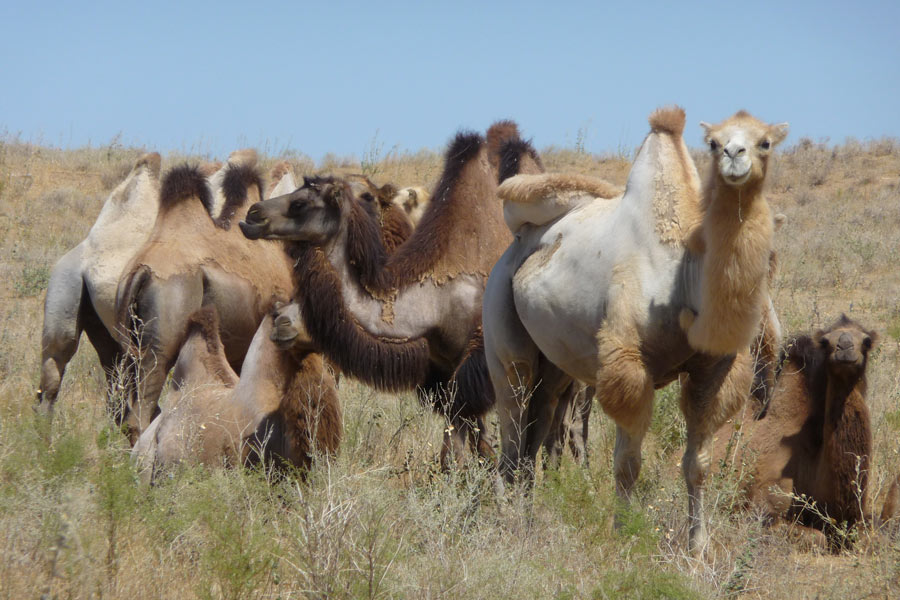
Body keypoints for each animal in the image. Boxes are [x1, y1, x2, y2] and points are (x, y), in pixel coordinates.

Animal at [241, 122, 528, 466]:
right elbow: (464, 440)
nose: (252, 214)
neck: (435, 303)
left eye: (300, 203)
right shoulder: (443, 370)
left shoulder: (477, 360)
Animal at [486, 108, 788, 552]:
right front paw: (622, 534)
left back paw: (525, 516)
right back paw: (506, 520)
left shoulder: (714, 370)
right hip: (503, 331)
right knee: (512, 423)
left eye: (765, 141)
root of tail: (517, 243)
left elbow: (697, 463)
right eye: (714, 142)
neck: (684, 279)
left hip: (554, 364)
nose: (736, 155)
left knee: (534, 430)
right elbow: (627, 463)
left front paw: (698, 546)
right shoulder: (628, 366)